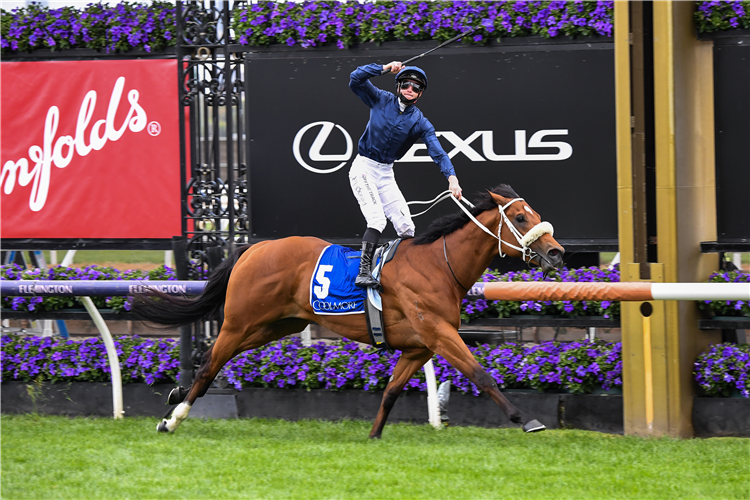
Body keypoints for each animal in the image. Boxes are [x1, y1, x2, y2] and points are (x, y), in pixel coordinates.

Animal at [132, 185, 564, 438]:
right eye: (521, 217)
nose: (558, 252)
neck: (438, 265)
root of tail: (253, 247)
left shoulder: (417, 347)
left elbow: (391, 392)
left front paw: (373, 437)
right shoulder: (438, 332)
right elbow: (481, 374)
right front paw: (526, 420)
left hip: (274, 326)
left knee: (214, 358)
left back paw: (177, 392)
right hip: (241, 322)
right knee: (210, 364)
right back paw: (173, 417)